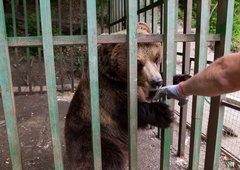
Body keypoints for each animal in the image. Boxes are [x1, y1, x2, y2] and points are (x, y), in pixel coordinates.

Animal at [64, 22, 174, 170]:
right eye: (138, 64)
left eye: (156, 58)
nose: (157, 81)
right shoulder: (108, 91)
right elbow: (128, 111)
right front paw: (164, 113)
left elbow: (148, 93)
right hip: (94, 138)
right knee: (110, 157)